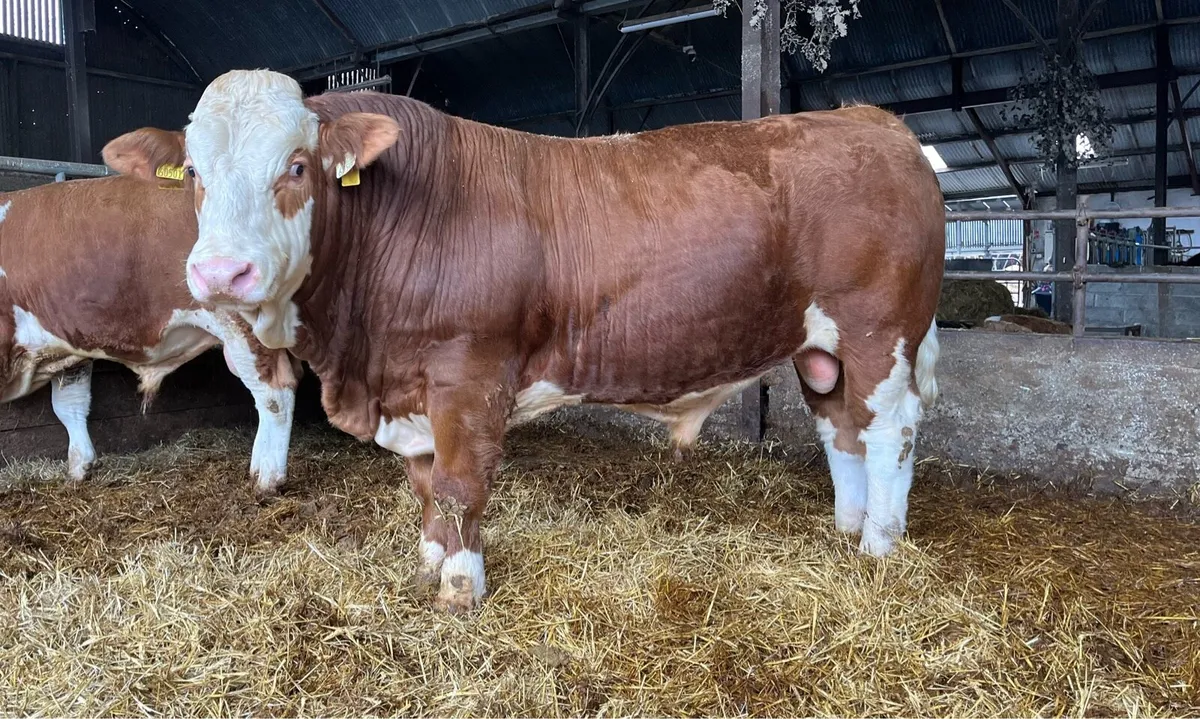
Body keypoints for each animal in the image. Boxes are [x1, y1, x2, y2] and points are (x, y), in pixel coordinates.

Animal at [0, 155, 298, 496]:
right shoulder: (70, 345)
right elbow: (70, 406)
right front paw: (79, 468)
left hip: (240, 322)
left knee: (275, 393)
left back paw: (267, 478)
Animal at [120, 69, 944, 613]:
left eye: (297, 166)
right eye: (192, 173)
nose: (220, 271)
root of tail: (873, 120)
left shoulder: (468, 373)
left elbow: (460, 485)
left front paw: (461, 589)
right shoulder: (412, 387)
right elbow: (427, 486)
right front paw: (428, 563)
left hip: (880, 332)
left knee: (891, 430)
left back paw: (880, 543)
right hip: (820, 347)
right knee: (842, 427)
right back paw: (848, 525)